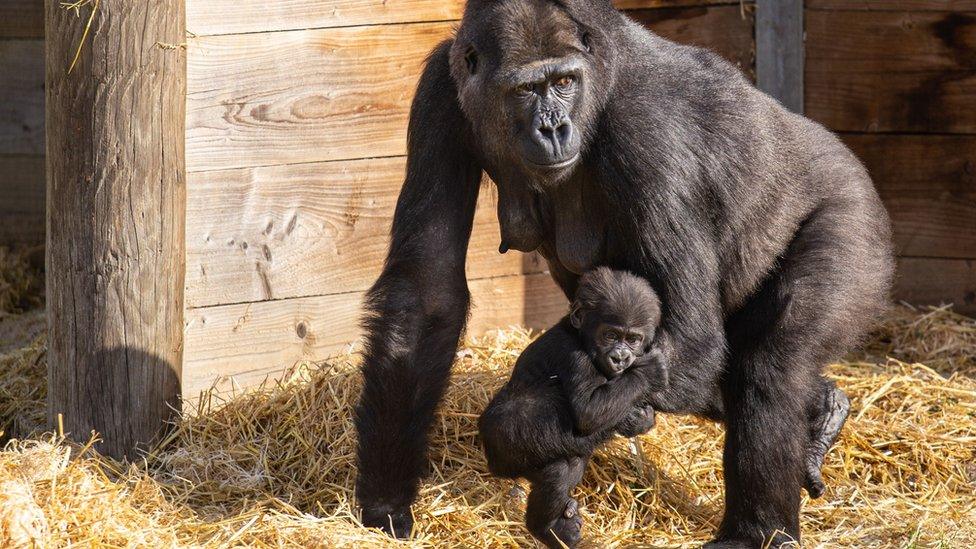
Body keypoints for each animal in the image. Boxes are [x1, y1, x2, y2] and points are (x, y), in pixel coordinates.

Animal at [478, 268, 668, 544]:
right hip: (507, 450)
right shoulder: (574, 356)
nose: (620, 357)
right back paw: (544, 528)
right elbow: (589, 412)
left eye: (633, 339)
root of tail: (492, 464)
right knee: (552, 457)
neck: (579, 334)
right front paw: (648, 372)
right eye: (610, 335)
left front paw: (641, 417)